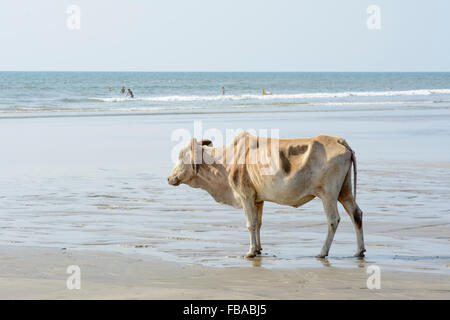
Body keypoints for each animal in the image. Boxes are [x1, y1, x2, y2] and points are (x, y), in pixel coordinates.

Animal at [168, 131, 366, 258]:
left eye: (181, 157)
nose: (169, 178)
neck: (225, 161)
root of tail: (340, 141)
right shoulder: (258, 199)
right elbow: (258, 223)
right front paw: (258, 249)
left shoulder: (245, 195)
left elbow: (250, 224)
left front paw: (250, 252)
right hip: (345, 191)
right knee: (356, 214)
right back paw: (359, 251)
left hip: (328, 194)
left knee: (333, 220)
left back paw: (322, 252)